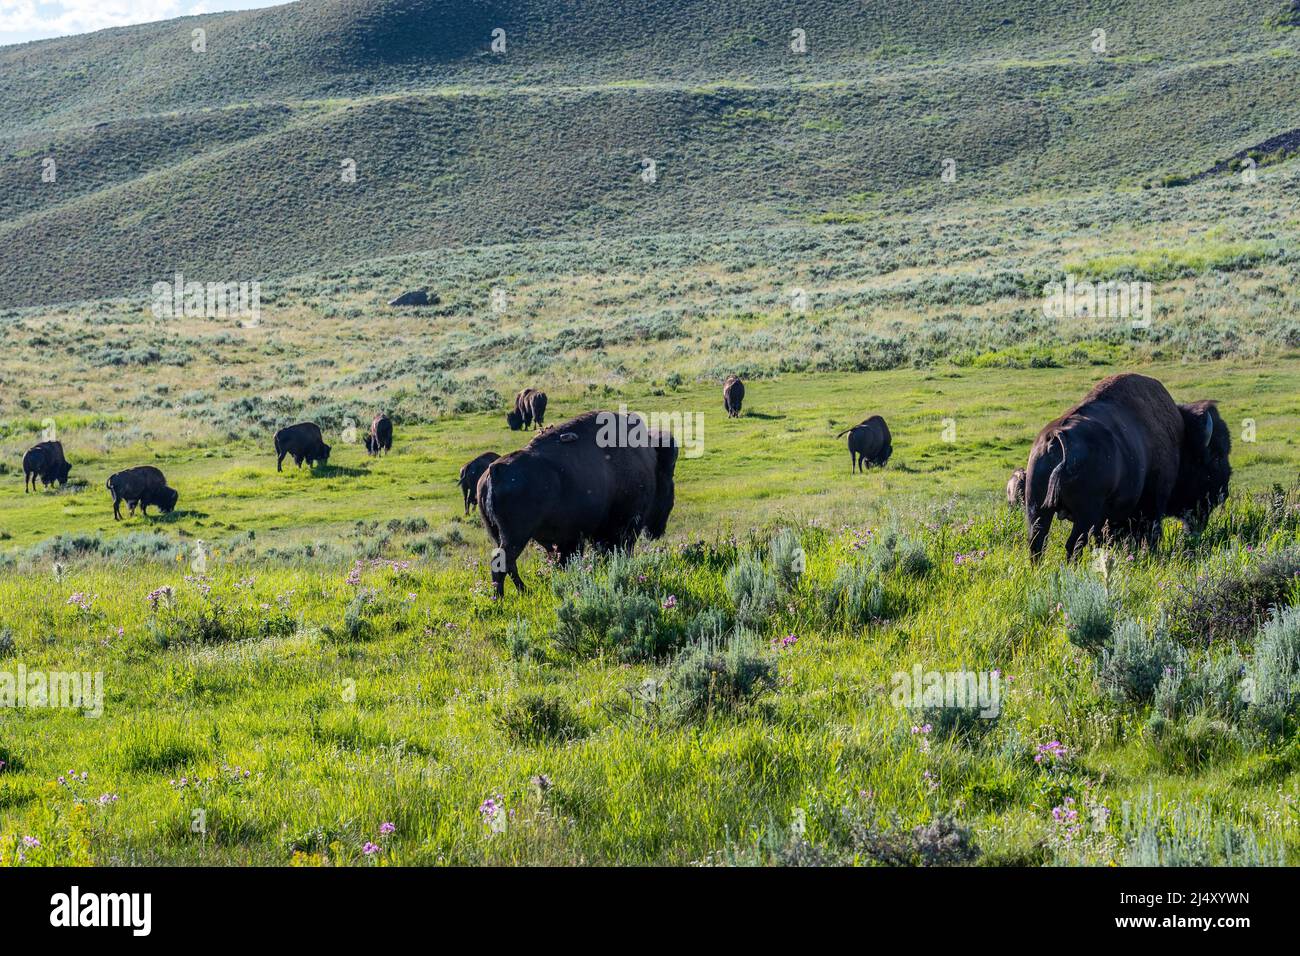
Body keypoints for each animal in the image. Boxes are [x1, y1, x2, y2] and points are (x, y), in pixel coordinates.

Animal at [478, 408, 681, 595]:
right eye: (669, 480)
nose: (658, 531)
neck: (651, 463)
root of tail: (495, 470)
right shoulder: (625, 527)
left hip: (500, 535)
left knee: (508, 563)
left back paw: (523, 591)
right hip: (516, 536)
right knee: (501, 562)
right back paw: (501, 598)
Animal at [1024, 374, 1227, 561]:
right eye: (1216, 458)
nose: (1223, 493)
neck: (1181, 437)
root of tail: (1056, 435)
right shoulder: (1153, 504)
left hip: (1037, 509)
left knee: (1037, 543)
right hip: (1086, 515)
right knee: (1073, 545)